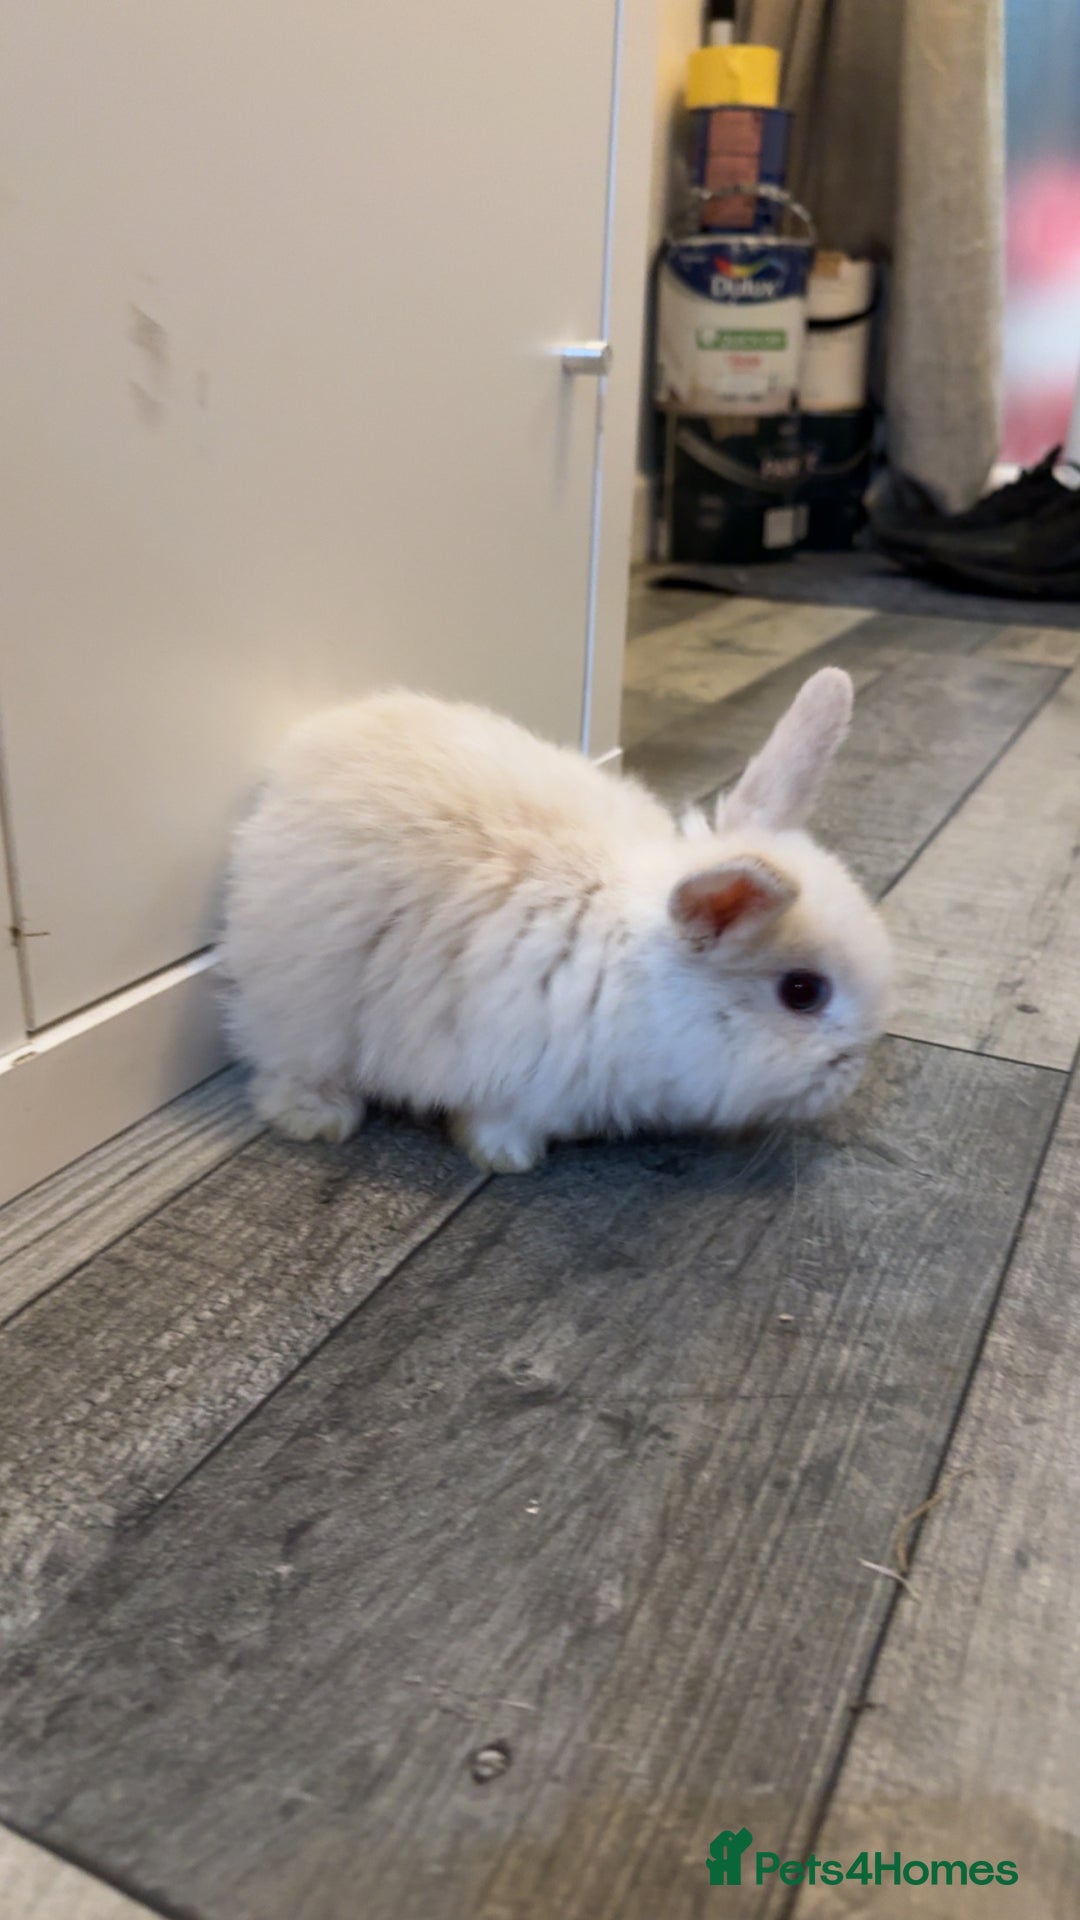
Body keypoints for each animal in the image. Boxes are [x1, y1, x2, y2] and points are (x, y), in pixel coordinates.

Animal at [220, 667, 892, 1173]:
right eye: (801, 992)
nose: (851, 1076)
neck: (639, 980)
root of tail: (300, 750)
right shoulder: (511, 1067)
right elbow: (498, 1119)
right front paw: (508, 1159)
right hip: (306, 994)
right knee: (283, 1059)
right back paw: (317, 1119)